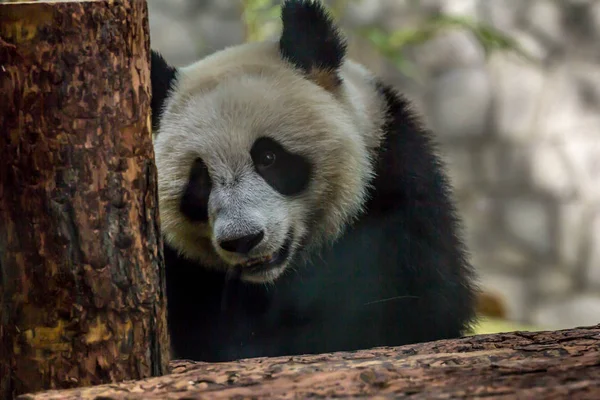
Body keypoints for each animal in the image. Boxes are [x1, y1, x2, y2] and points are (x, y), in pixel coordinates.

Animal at [149, 0, 478, 362]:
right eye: (200, 179)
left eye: (268, 157)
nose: (243, 239)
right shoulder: (184, 273)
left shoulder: (397, 187)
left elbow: (410, 306)